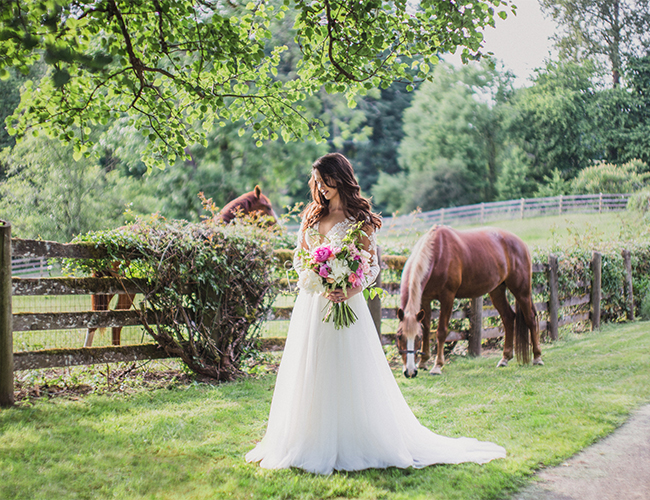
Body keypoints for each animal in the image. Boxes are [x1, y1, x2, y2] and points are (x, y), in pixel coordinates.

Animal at [394, 225, 540, 376]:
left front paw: (437, 366)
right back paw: (505, 358)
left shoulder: (447, 297)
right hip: (497, 290)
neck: (437, 254)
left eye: (417, 338)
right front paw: (423, 362)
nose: (410, 372)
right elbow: (427, 328)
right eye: (399, 336)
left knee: (530, 319)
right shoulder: (425, 299)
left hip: (521, 291)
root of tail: (521, 244)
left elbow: (441, 331)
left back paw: (537, 357)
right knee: (508, 318)